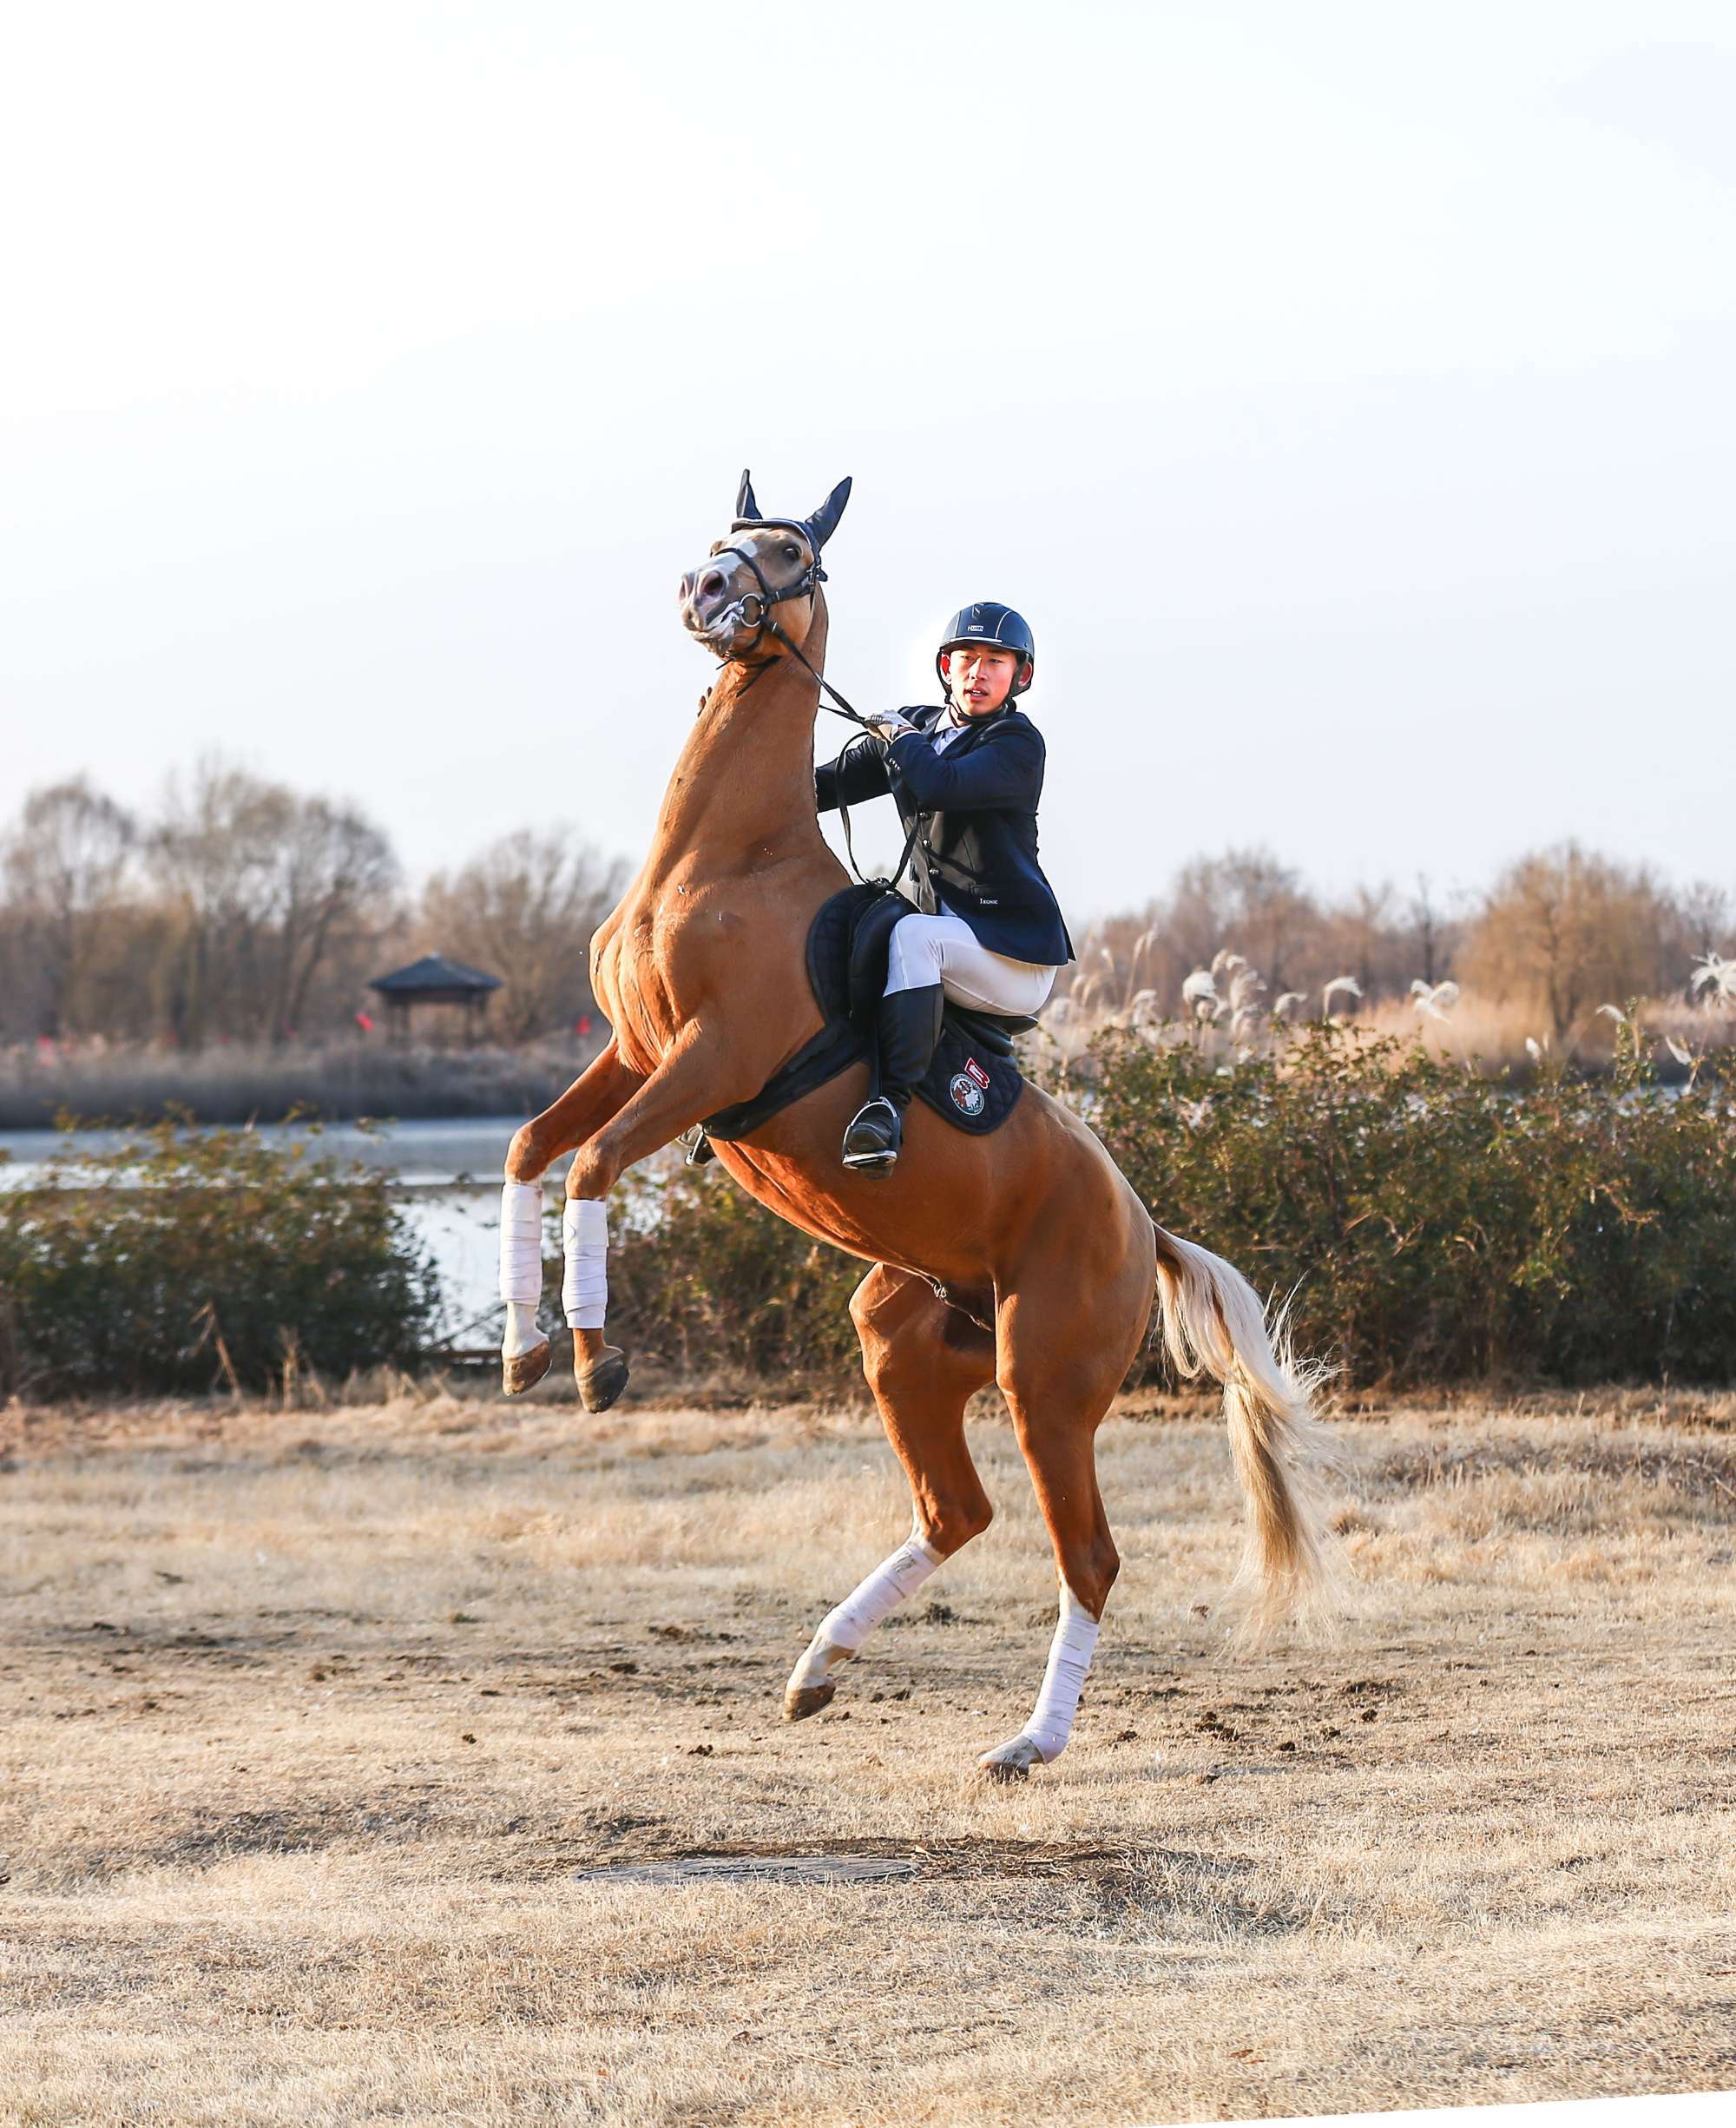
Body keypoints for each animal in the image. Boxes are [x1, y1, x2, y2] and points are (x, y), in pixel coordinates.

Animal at [502, 470, 1327, 1779]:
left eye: (788, 553)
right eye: (724, 536)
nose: (704, 589)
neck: (724, 858)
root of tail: (1142, 1226)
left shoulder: (705, 1061)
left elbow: (588, 1162)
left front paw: (594, 1362)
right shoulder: (632, 1051)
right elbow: (533, 1148)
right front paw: (523, 1348)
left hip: (1045, 1383)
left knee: (1085, 1555)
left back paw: (1027, 1741)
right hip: (905, 1342)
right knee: (959, 1511)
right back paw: (816, 1666)